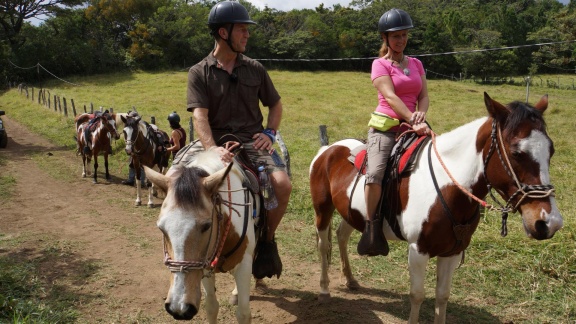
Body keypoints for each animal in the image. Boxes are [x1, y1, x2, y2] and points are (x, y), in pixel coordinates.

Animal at [146, 151, 256, 322]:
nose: (179, 308)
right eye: (161, 228)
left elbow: (243, 313)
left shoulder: (244, 264)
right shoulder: (204, 264)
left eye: (207, 226)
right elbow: (211, 307)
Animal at [308, 92, 564, 322]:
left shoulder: (452, 252)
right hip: (323, 209)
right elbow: (417, 295)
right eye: (516, 152)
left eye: (551, 150)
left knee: (341, 236)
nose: (549, 223)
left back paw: (350, 279)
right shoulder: (418, 251)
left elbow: (442, 296)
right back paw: (324, 290)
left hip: (352, 214)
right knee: (323, 244)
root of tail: (328, 149)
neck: (447, 186)